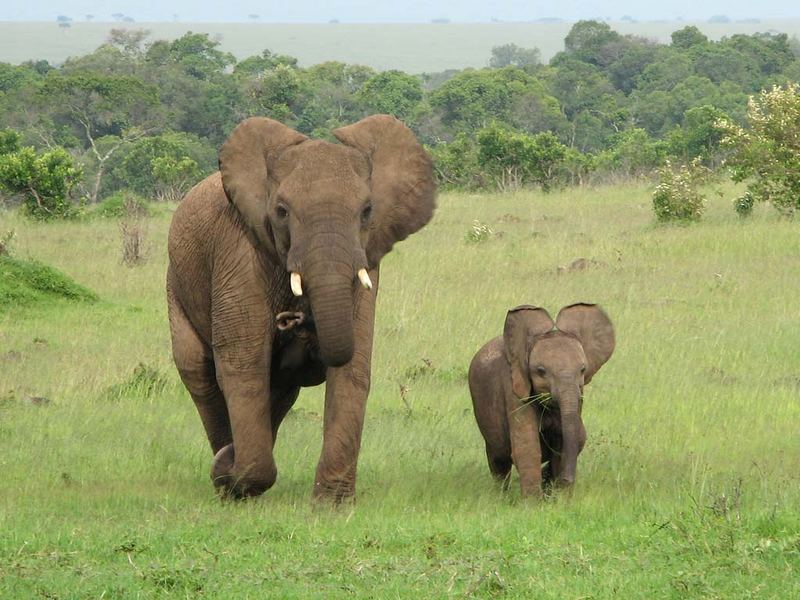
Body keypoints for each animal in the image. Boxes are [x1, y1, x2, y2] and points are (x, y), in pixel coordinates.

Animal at [165, 116, 434, 502]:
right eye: (281, 211)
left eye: (367, 211)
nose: (294, 321)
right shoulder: (239, 250)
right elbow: (243, 365)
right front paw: (236, 478)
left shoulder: (367, 259)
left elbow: (353, 367)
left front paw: (332, 504)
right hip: (176, 284)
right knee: (198, 372)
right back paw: (227, 474)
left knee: (280, 388)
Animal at [466, 304, 616, 496]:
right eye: (541, 371)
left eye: (583, 370)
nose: (566, 480)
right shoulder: (514, 387)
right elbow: (527, 446)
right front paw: (533, 502)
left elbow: (566, 441)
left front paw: (559, 498)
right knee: (499, 459)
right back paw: (501, 496)